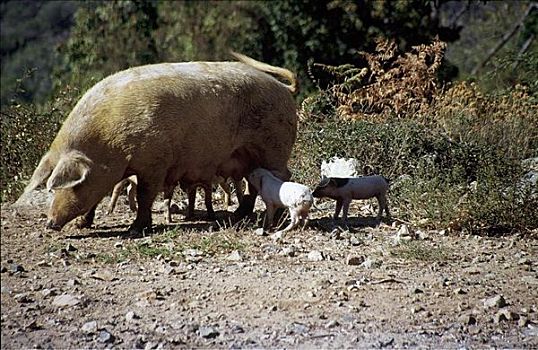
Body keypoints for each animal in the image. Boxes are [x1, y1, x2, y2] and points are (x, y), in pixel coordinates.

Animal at [15, 53, 298, 234]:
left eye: (72, 184)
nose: (49, 224)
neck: (107, 144)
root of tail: (285, 88)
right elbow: (101, 197)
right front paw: (80, 225)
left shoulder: (154, 163)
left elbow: (144, 195)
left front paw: (135, 229)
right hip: (250, 155)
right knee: (253, 183)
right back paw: (240, 215)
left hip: (274, 145)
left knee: (282, 175)